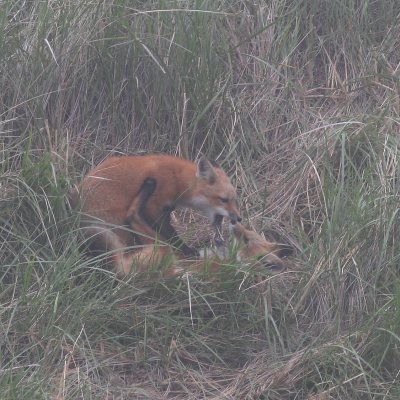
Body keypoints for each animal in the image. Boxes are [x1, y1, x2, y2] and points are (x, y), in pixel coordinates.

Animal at [69, 154, 241, 268]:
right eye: (224, 200)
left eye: (235, 200)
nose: (238, 218)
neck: (176, 178)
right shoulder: (152, 206)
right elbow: (172, 235)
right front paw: (188, 251)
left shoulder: (165, 209)